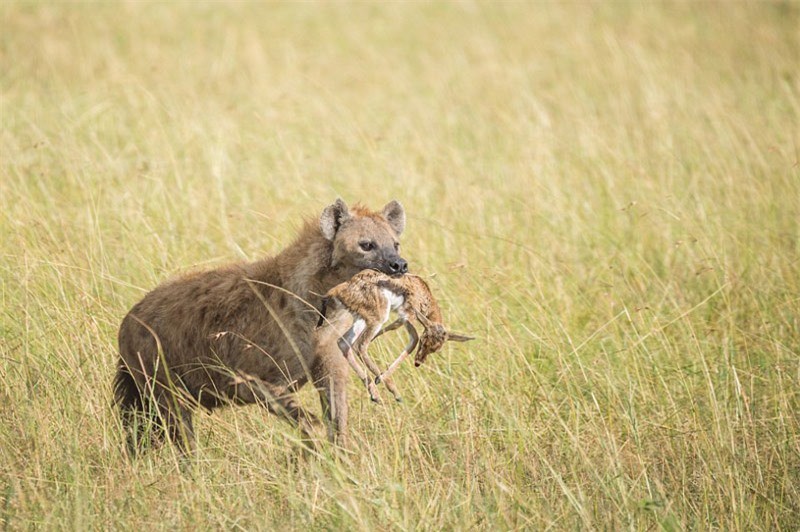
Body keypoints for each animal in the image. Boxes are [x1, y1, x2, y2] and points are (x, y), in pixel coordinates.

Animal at [318, 272, 472, 402]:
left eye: (436, 349)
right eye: (424, 341)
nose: (418, 362)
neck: (424, 293)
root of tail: (339, 289)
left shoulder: (405, 319)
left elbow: (410, 339)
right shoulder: (406, 316)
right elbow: (412, 339)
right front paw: (380, 378)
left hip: (361, 320)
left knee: (344, 343)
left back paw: (376, 393)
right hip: (378, 318)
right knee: (360, 345)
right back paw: (390, 391)